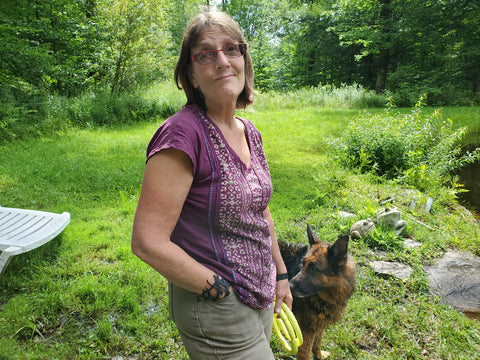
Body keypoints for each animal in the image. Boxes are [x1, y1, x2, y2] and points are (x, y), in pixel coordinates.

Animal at [278, 224, 356, 358]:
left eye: (313, 268)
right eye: (303, 263)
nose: (289, 287)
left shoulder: (318, 325)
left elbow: (318, 342)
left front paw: (319, 355)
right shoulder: (306, 333)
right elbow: (306, 354)